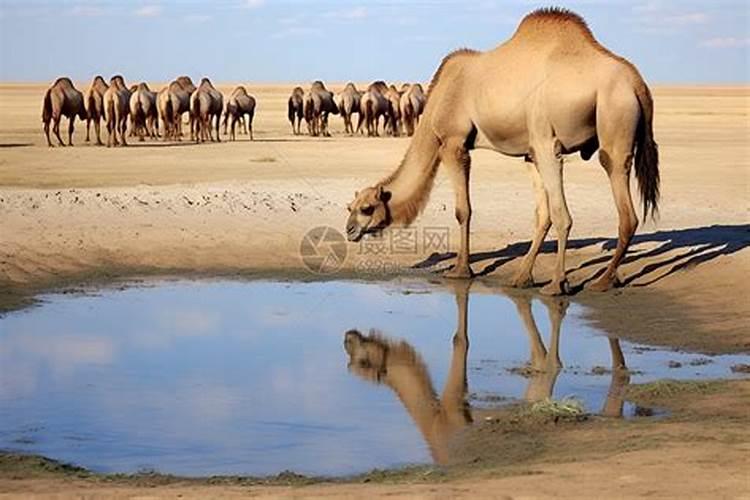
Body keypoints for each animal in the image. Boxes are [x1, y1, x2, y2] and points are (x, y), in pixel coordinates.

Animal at [344, 7, 660, 294]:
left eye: (366, 208)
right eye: (350, 207)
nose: (349, 230)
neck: (436, 103)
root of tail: (637, 82)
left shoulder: (454, 142)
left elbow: (463, 210)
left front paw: (460, 270)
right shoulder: (530, 153)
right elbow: (540, 214)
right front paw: (522, 278)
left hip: (606, 120)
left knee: (612, 204)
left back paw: (580, 283)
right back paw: (599, 278)